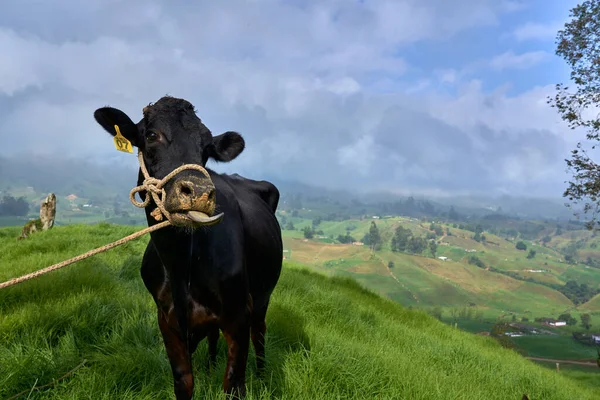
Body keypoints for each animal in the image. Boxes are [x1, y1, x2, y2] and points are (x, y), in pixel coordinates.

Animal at [92, 95, 284, 398]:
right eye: (151, 135)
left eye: (206, 147)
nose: (199, 193)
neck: (181, 264)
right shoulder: (167, 320)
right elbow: (184, 382)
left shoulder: (239, 313)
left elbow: (234, 384)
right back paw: (210, 364)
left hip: (263, 296)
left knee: (260, 333)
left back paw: (262, 375)